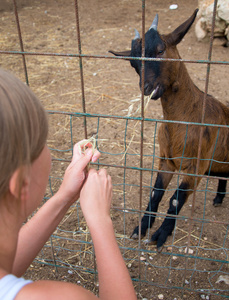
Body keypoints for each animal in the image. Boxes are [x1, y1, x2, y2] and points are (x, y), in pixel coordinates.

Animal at [108, 9, 229, 252]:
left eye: (160, 49)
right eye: (133, 62)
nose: (146, 88)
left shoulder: (196, 167)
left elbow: (175, 199)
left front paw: (161, 235)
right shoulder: (166, 160)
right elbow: (156, 194)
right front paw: (141, 228)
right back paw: (219, 198)